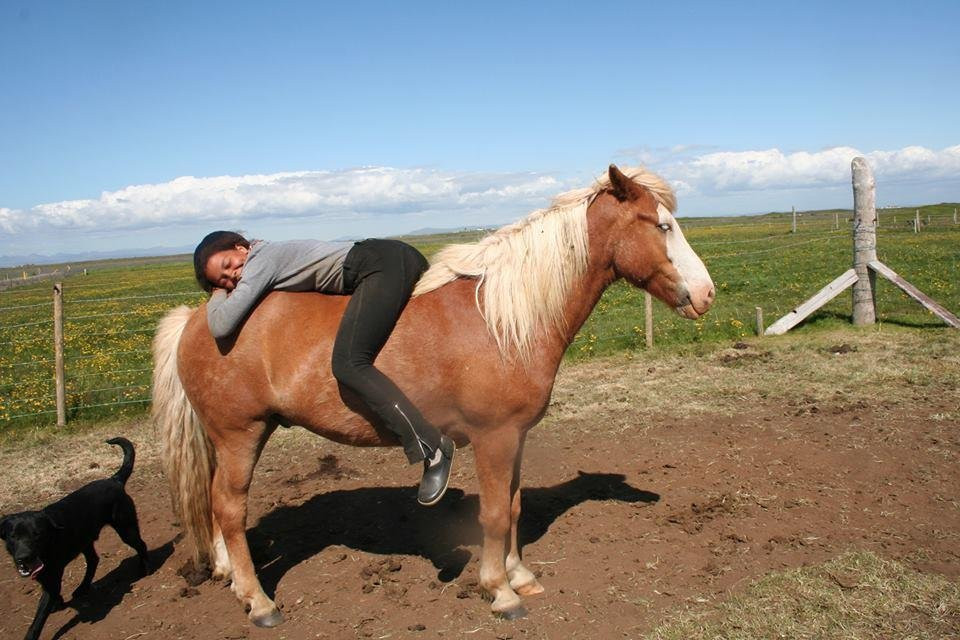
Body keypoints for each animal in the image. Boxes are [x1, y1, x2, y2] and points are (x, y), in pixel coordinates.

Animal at [151, 165, 714, 626]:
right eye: (660, 225)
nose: (707, 294)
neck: (500, 318)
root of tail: (199, 317)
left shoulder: (516, 437)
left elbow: (512, 507)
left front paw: (521, 575)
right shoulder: (493, 437)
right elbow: (493, 514)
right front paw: (500, 591)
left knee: (215, 504)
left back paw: (230, 576)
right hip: (240, 433)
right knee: (229, 509)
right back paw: (259, 602)